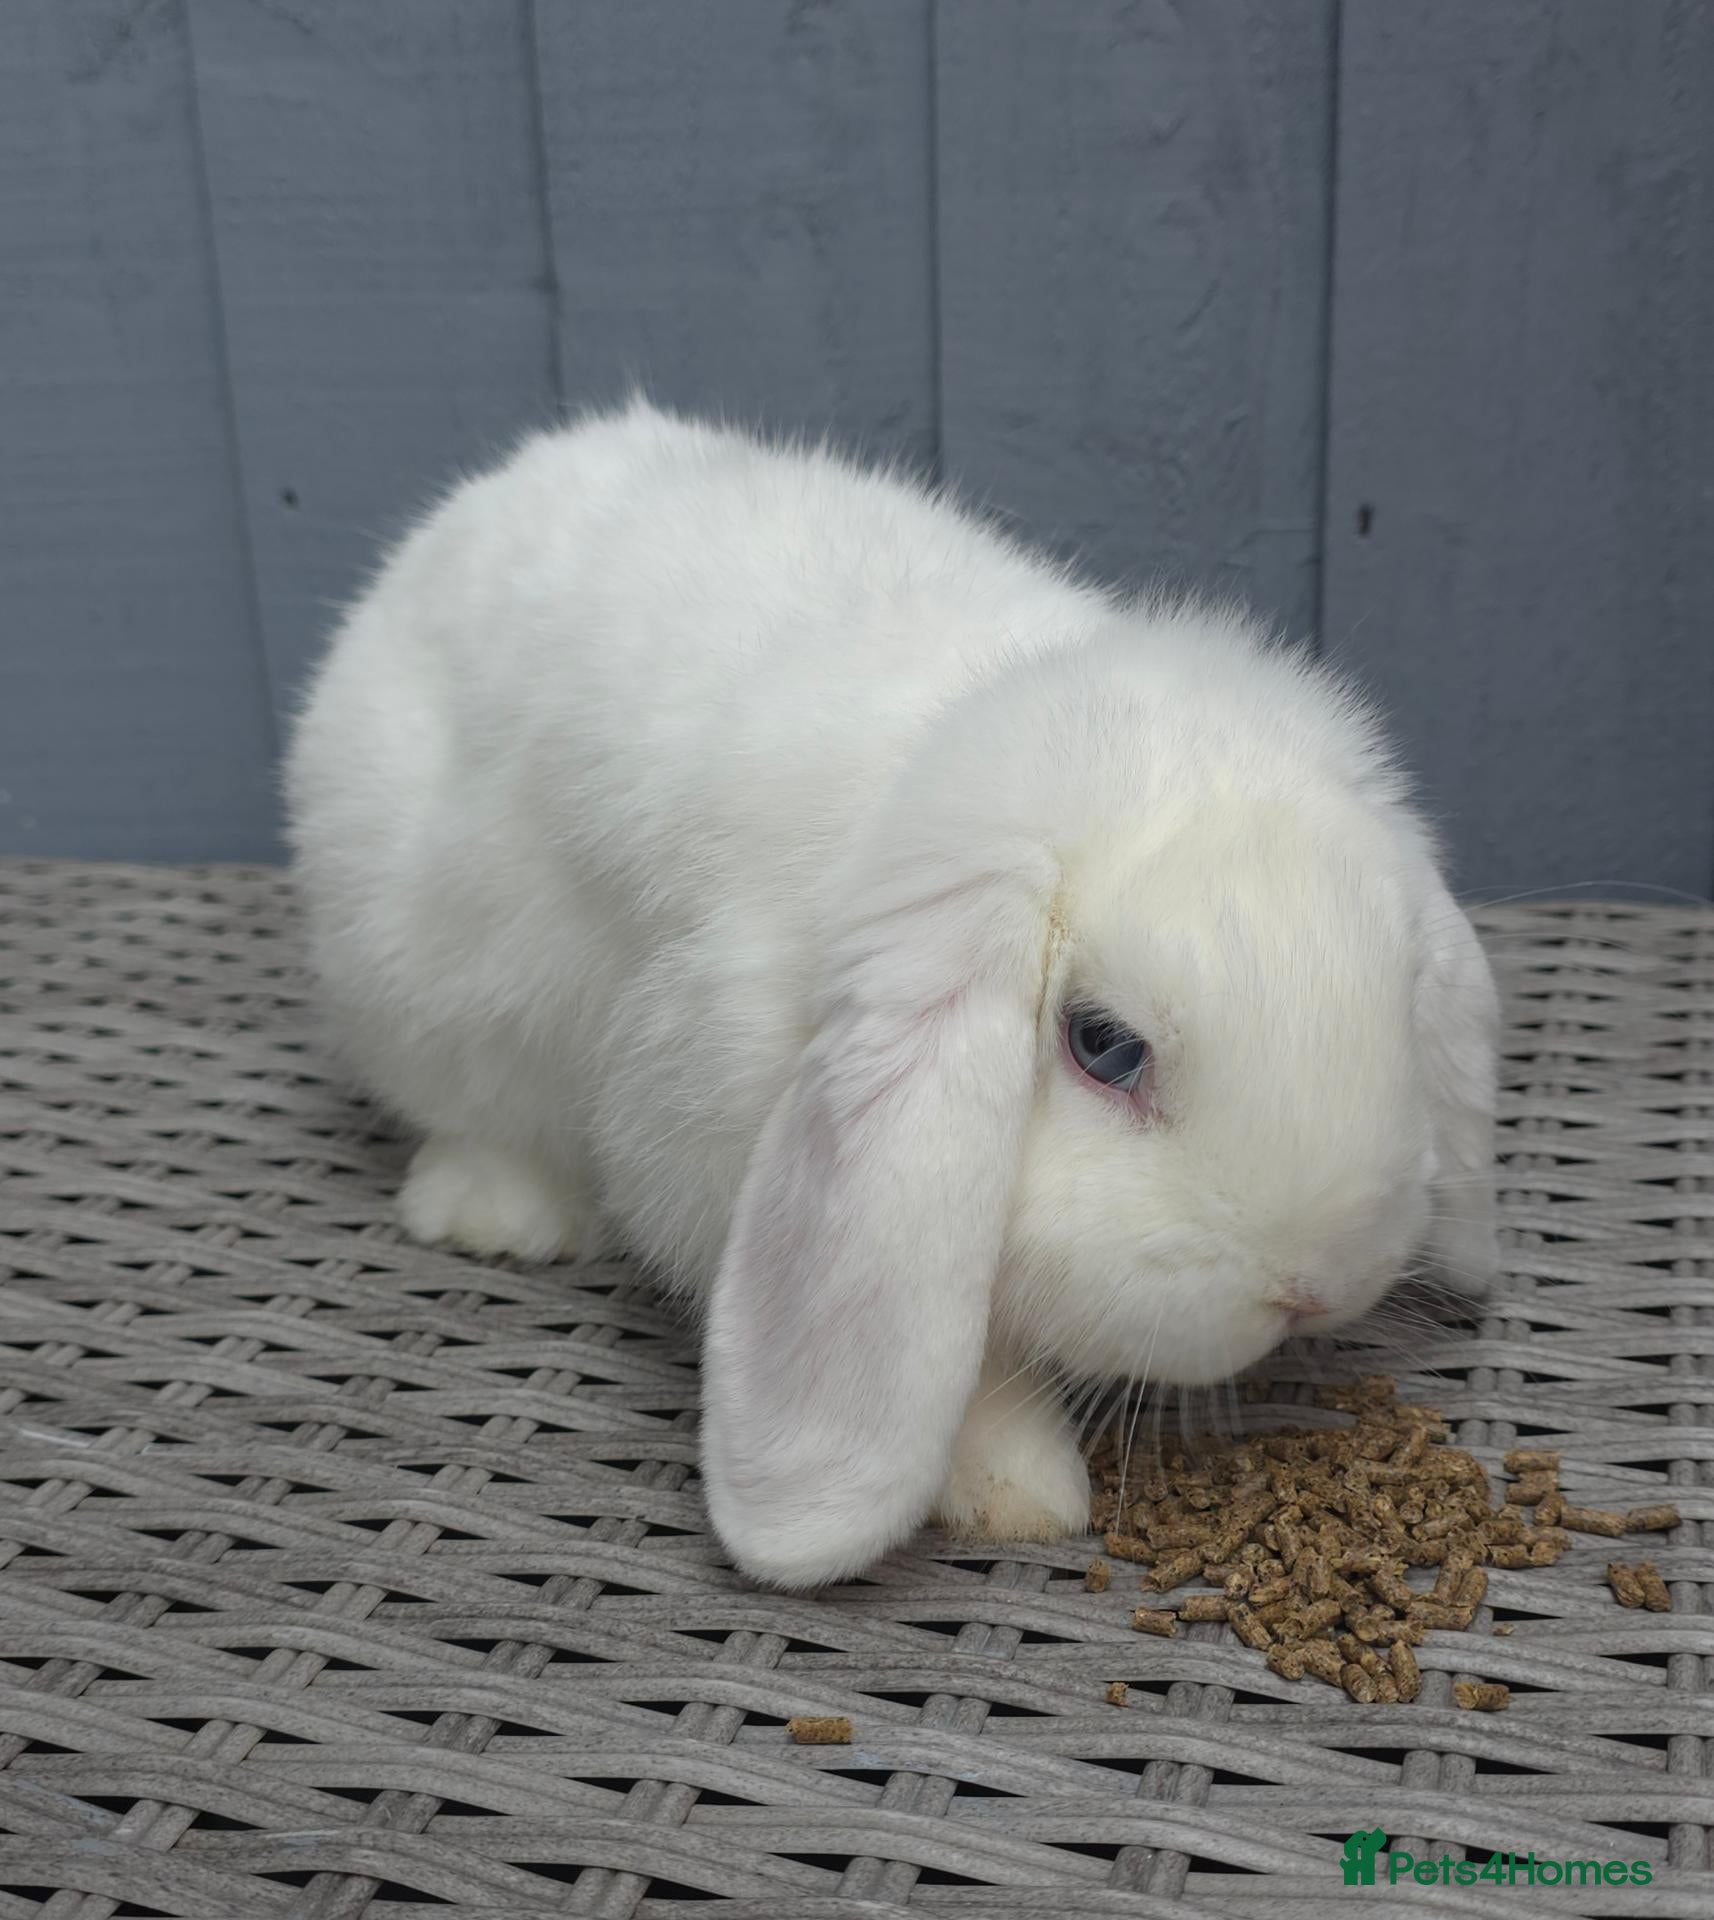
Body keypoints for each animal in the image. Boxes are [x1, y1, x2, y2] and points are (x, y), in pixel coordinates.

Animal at [285, 397, 1500, 1590]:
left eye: (1400, 1004)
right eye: (1103, 1045)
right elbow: (955, 1366)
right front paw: (1019, 1490)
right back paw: (501, 1217)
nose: (1319, 1284)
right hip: (416, 990)